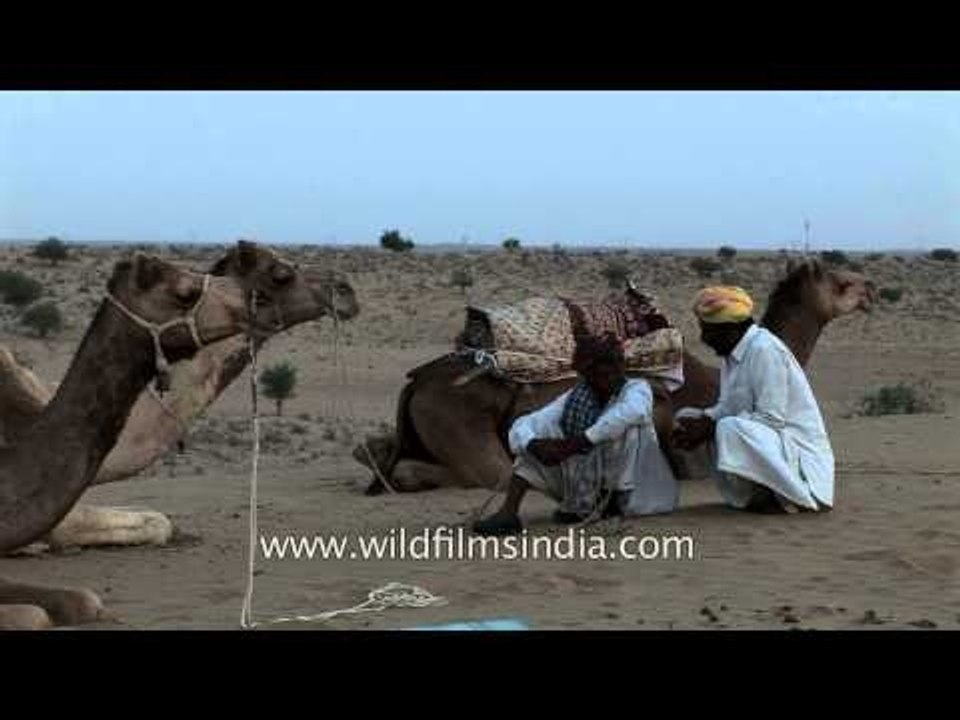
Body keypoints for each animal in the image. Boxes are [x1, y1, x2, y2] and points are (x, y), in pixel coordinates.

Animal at [356, 258, 878, 494]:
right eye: (842, 283)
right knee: (481, 473)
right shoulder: (694, 459)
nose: (871, 289)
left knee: (377, 452)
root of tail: (416, 381)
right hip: (464, 424)